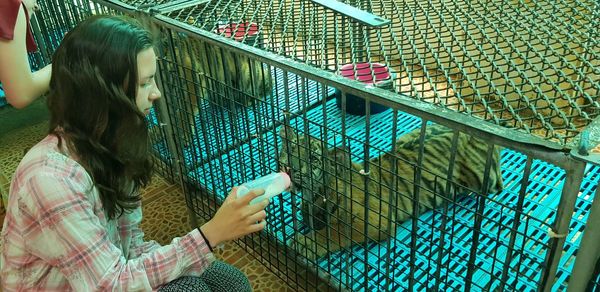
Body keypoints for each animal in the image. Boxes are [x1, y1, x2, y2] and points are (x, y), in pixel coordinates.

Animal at [278, 123, 504, 260]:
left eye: (313, 159)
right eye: (290, 148)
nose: (289, 168)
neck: (316, 192)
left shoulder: (374, 220)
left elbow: (334, 232)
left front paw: (305, 242)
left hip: (484, 180)